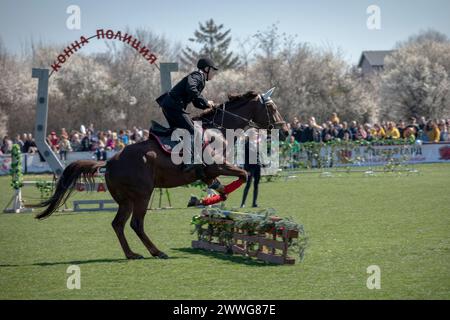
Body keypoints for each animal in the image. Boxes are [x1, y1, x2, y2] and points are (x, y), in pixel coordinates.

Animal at [33, 88, 290, 260]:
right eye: (272, 108)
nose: (286, 131)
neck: (219, 130)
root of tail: (109, 161)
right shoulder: (217, 167)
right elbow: (243, 176)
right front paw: (202, 200)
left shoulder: (209, 174)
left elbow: (222, 189)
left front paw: (202, 199)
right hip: (142, 194)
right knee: (136, 224)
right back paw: (156, 251)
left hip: (126, 200)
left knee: (118, 224)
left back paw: (132, 254)